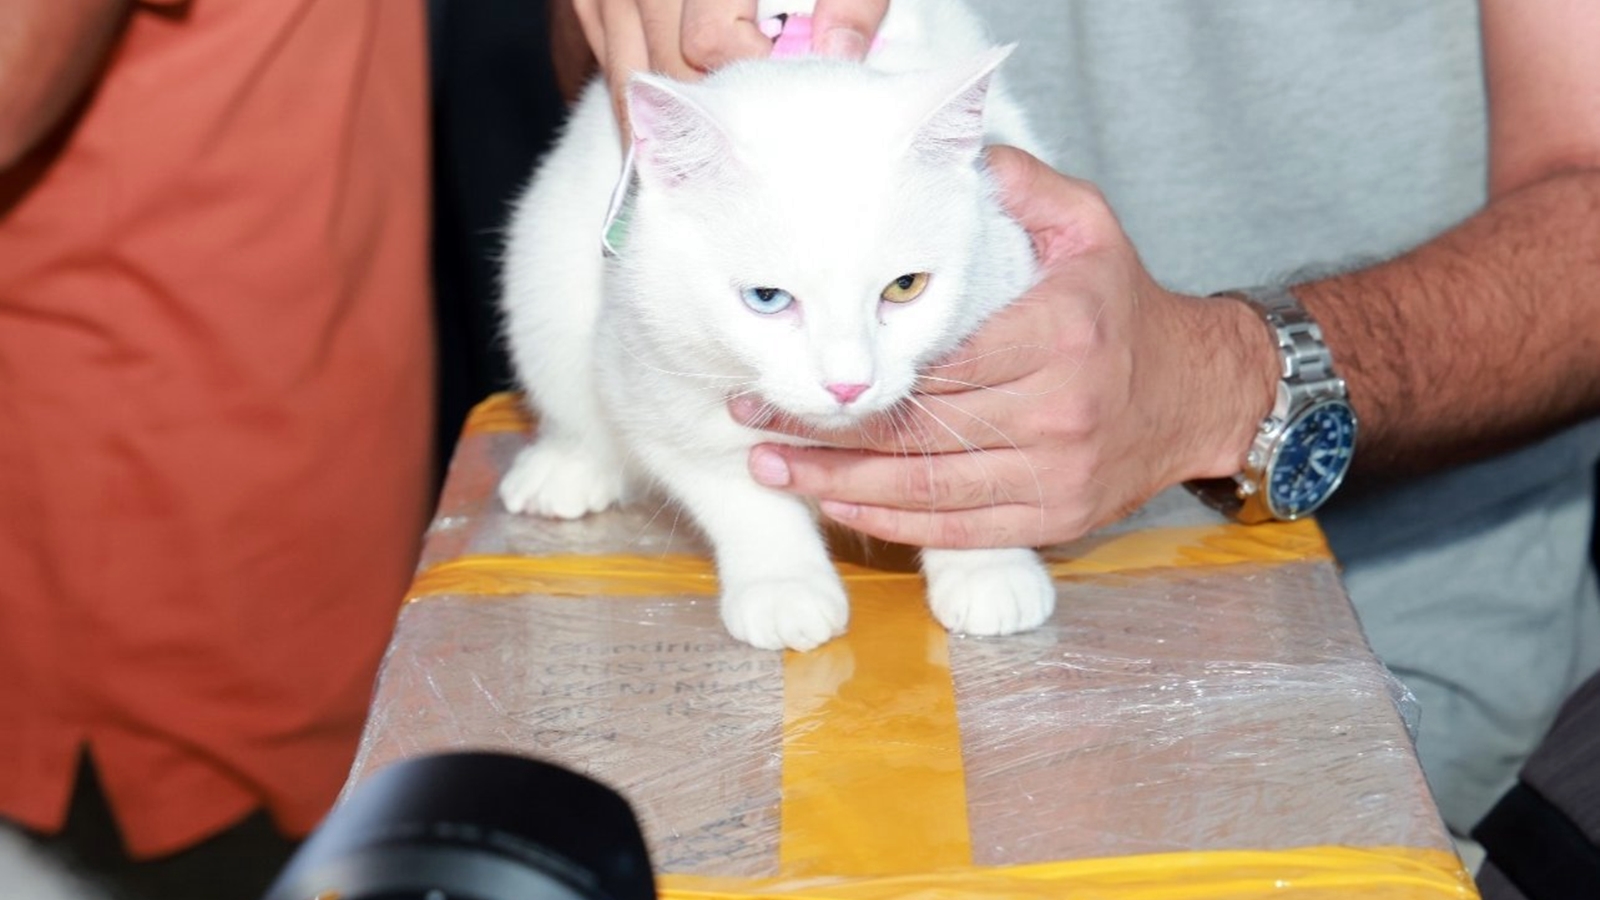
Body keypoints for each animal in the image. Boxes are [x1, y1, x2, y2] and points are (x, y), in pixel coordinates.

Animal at [492, 0, 1056, 646]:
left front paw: (988, 565)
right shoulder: (645, 367)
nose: (848, 385)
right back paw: (568, 465)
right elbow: (735, 489)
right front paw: (783, 586)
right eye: (767, 298)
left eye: (905, 287)